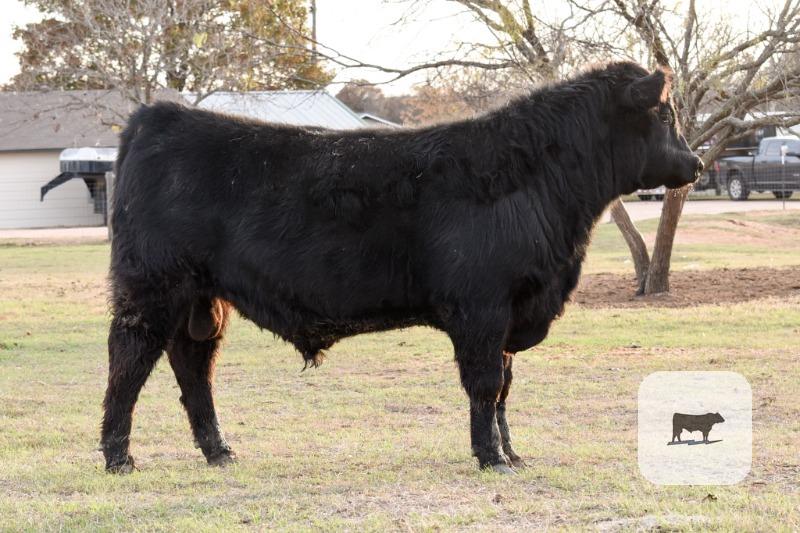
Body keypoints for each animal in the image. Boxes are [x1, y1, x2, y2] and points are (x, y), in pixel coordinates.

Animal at [101, 61, 703, 474]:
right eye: (665, 114)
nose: (696, 163)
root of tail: (157, 117)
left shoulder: (511, 312)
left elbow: (505, 388)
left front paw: (512, 453)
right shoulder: (483, 309)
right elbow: (486, 385)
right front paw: (492, 459)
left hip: (201, 298)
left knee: (193, 366)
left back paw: (219, 451)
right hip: (150, 287)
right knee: (128, 363)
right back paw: (118, 458)